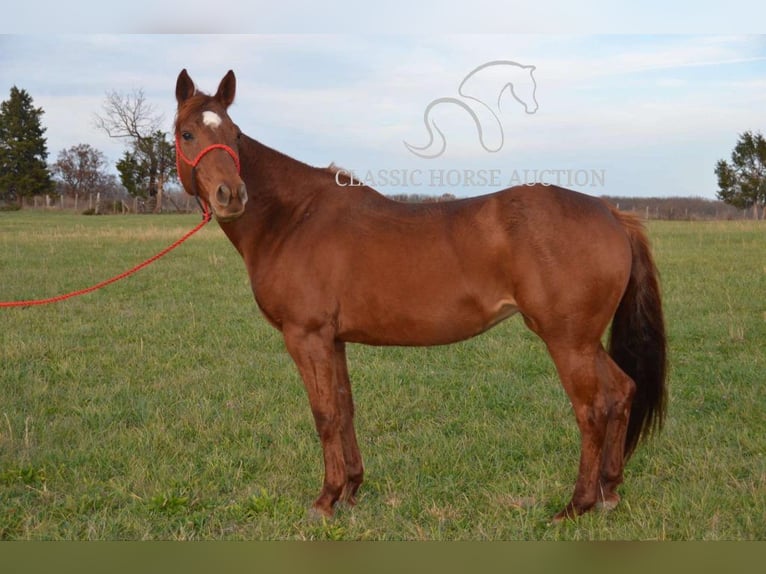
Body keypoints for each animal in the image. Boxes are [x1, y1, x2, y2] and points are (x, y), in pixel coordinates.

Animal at [172, 70, 664, 524]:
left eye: (235, 135)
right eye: (187, 133)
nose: (231, 195)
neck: (292, 218)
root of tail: (612, 213)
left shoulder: (306, 336)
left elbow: (324, 414)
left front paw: (325, 500)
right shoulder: (333, 339)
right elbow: (345, 408)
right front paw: (351, 490)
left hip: (568, 341)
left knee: (592, 410)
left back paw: (577, 504)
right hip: (584, 341)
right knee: (621, 392)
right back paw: (609, 491)